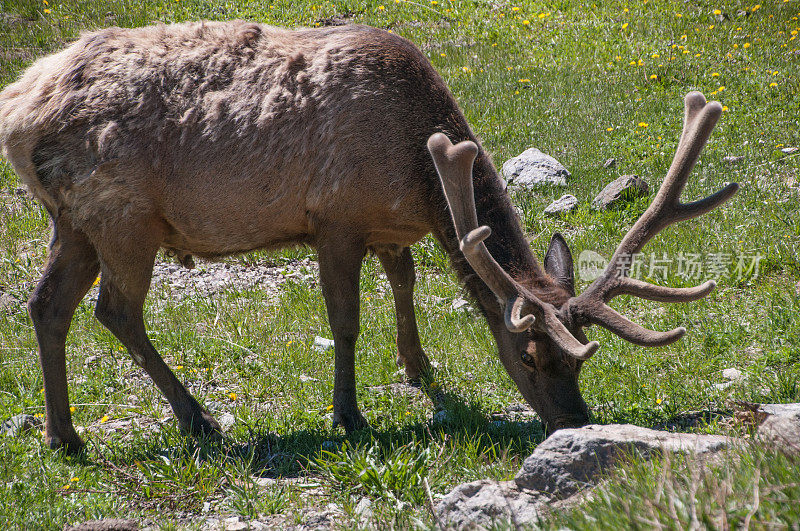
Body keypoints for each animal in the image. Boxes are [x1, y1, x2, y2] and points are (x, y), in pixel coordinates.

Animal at [0, 19, 736, 454]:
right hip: (122, 215)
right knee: (115, 310)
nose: (578, 424)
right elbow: (346, 319)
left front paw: (420, 368)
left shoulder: (389, 228)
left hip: (75, 220)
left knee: (47, 305)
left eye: (581, 360)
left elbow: (404, 284)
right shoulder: (336, 216)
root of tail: (17, 109)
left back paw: (64, 434)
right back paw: (197, 417)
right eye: (528, 357)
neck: (417, 169)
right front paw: (348, 413)